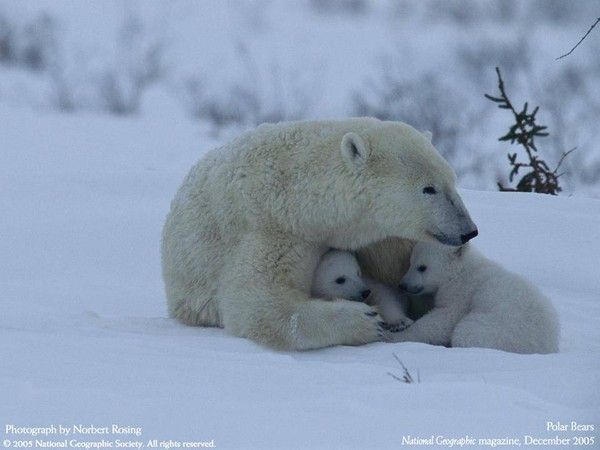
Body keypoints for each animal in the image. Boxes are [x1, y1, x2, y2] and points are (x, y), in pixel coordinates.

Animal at [161, 118, 478, 350]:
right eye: (428, 188)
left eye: (452, 180)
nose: (468, 231)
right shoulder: (271, 229)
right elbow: (259, 305)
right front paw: (364, 320)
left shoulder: (380, 239)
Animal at [394, 241, 556, 354]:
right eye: (410, 262)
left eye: (422, 267)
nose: (403, 285)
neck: (461, 271)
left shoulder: (462, 292)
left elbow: (444, 319)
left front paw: (400, 336)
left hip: (501, 330)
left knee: (465, 332)